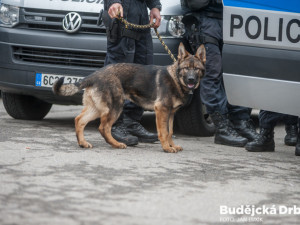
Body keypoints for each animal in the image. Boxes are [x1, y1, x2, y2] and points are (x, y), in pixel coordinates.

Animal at [52, 43, 205, 153]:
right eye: (186, 68)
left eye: (196, 69)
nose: (191, 80)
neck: (176, 79)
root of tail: (95, 74)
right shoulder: (162, 110)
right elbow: (164, 132)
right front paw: (167, 148)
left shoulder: (171, 113)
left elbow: (170, 131)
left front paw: (172, 145)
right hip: (115, 107)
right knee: (103, 127)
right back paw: (116, 144)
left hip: (97, 108)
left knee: (79, 120)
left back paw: (83, 143)